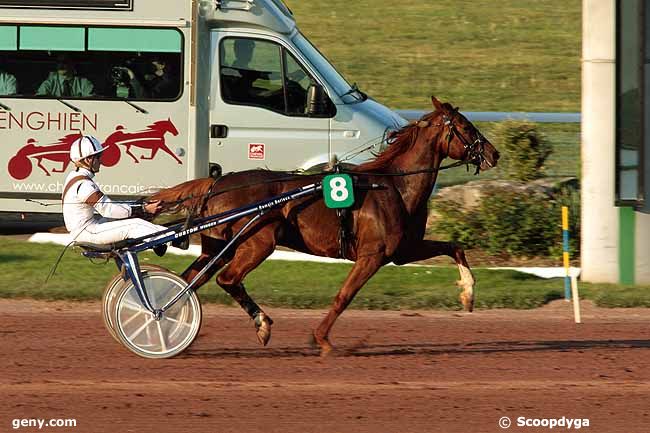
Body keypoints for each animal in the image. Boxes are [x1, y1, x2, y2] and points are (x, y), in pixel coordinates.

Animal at [149, 97, 498, 354]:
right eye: (466, 127)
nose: (494, 153)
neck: (394, 186)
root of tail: (218, 182)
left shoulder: (403, 250)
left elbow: (454, 246)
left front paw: (468, 294)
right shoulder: (372, 255)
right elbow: (344, 295)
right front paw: (321, 338)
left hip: (216, 247)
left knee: (187, 282)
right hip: (258, 242)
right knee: (227, 280)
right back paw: (260, 323)